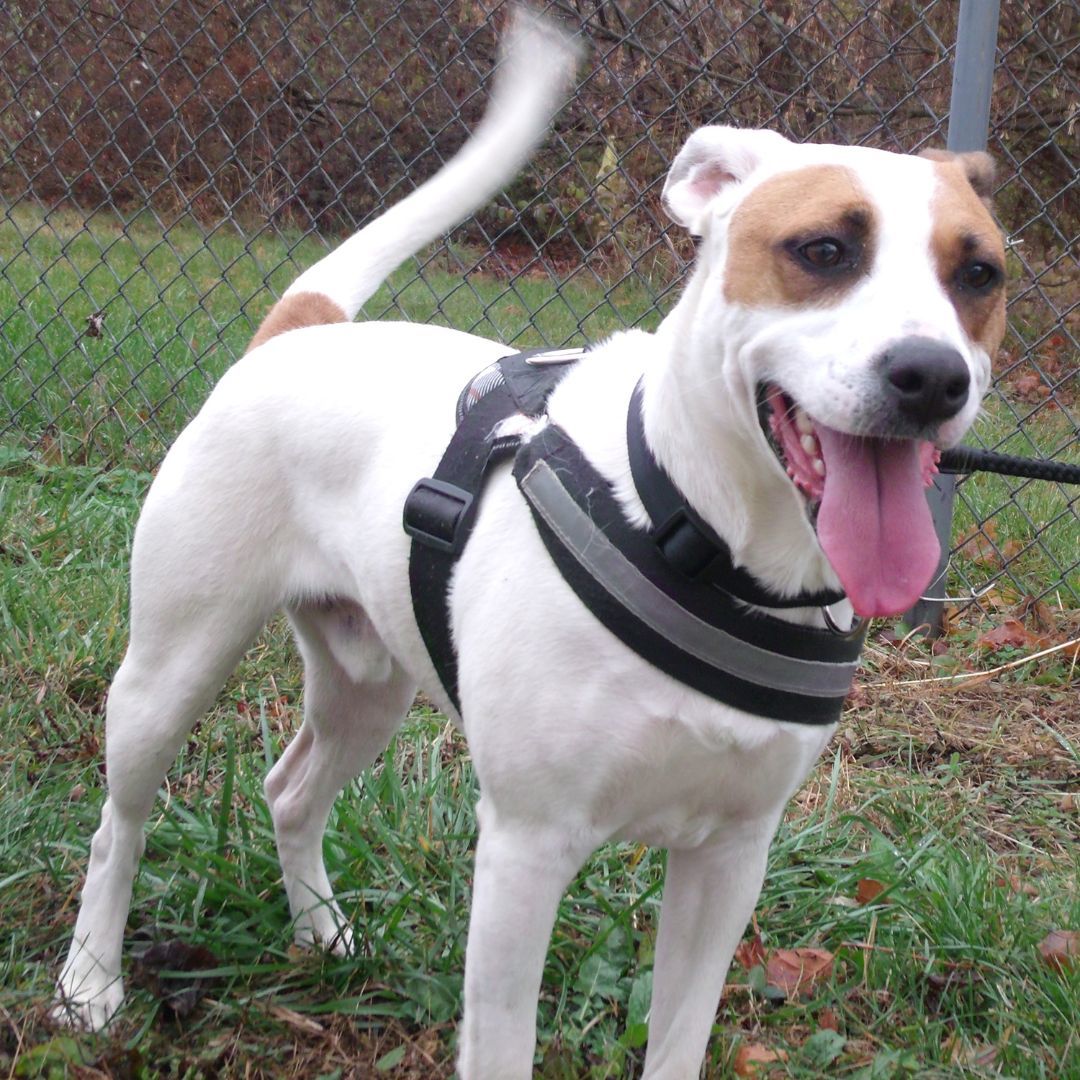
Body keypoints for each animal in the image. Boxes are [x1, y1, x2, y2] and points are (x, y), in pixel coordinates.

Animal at [54, 10, 1006, 1080]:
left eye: (980, 274)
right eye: (825, 249)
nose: (931, 376)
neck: (698, 536)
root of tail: (298, 332)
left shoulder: (730, 859)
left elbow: (679, 1038)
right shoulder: (526, 847)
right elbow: (502, 1038)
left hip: (367, 687)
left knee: (291, 792)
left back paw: (322, 934)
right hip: (168, 671)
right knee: (120, 828)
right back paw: (90, 983)